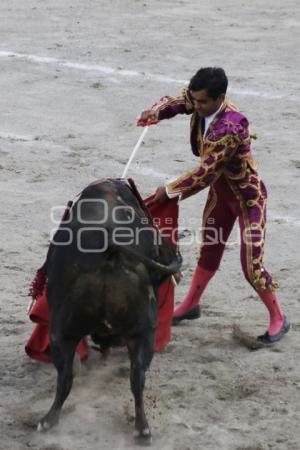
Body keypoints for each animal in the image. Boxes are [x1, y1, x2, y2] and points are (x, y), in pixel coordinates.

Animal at [37, 178, 183, 444]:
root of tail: (109, 247)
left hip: (62, 331)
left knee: (66, 377)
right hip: (140, 332)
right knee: (136, 378)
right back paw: (142, 428)